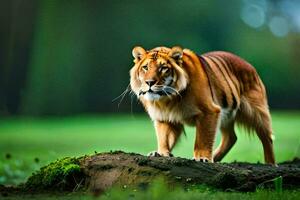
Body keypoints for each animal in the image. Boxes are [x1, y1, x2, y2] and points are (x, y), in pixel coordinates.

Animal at [129, 46, 274, 165]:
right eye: (145, 67)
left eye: (163, 68)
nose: (149, 82)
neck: (167, 99)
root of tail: (249, 64)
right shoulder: (164, 118)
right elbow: (164, 138)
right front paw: (160, 153)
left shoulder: (209, 111)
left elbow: (203, 139)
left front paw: (202, 158)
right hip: (226, 115)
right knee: (231, 137)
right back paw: (215, 157)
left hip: (257, 113)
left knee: (267, 138)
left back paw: (270, 164)